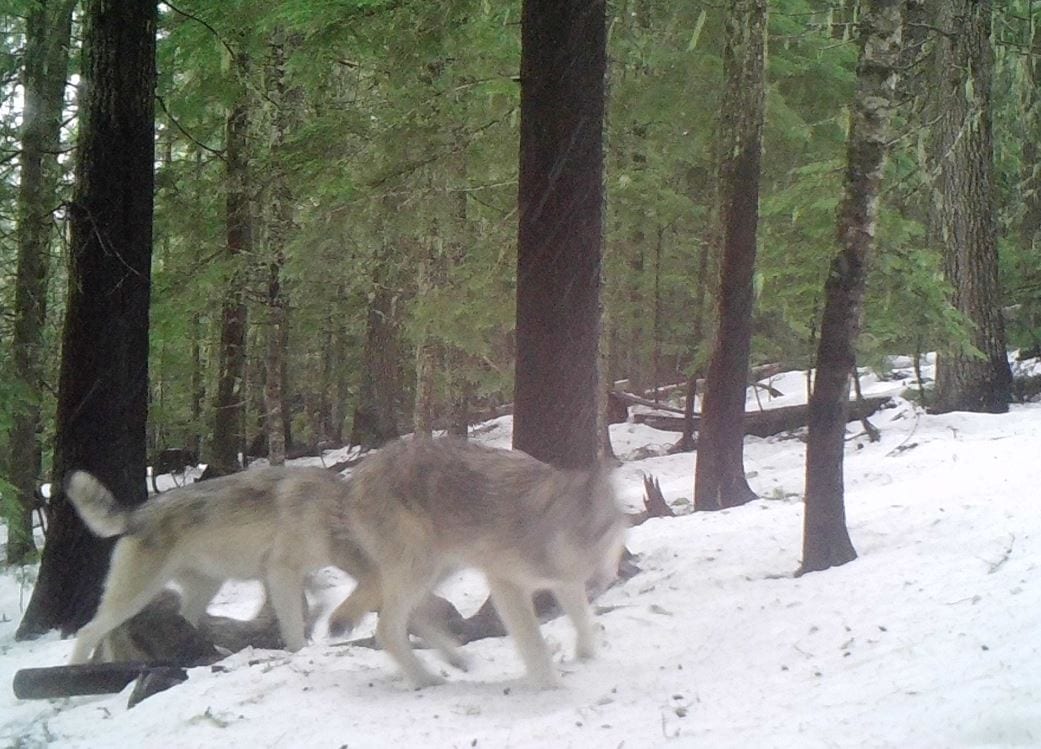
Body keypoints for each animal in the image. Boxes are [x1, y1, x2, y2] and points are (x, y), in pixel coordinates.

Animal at [64, 466, 373, 664]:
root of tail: (136, 515)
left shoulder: (288, 574)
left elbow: (318, 598)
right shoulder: (280, 572)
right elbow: (294, 626)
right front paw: (299, 653)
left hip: (204, 590)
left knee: (186, 621)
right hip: (134, 597)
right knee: (87, 632)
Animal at [326, 438, 627, 689]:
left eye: (602, 532)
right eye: (574, 533)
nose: (597, 579)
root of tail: (352, 482)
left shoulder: (566, 583)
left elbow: (584, 621)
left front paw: (586, 658)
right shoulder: (506, 585)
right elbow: (534, 643)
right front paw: (553, 687)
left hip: (436, 570)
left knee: (410, 616)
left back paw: (456, 658)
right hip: (419, 569)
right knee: (387, 629)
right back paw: (427, 679)